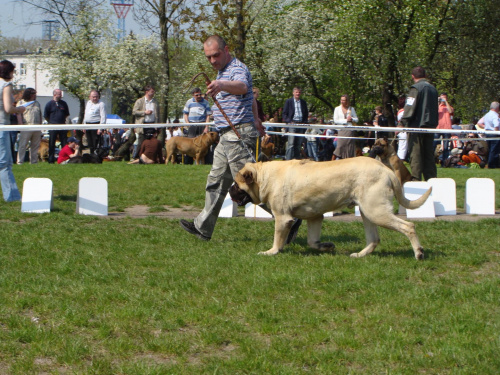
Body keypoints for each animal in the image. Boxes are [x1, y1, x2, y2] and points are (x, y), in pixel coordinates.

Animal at [229, 157, 432, 260]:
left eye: (237, 185)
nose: (230, 191)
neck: (264, 176)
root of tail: (386, 170)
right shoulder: (315, 217)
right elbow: (312, 241)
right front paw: (326, 246)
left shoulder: (283, 218)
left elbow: (278, 238)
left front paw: (271, 251)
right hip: (368, 213)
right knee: (374, 239)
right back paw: (360, 254)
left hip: (376, 211)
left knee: (409, 226)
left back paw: (419, 253)